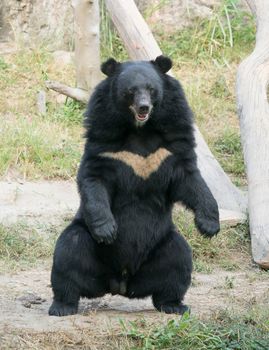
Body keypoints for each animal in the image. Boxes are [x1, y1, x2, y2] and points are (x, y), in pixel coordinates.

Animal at [49, 56, 219, 316]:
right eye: (130, 91)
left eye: (152, 89)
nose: (144, 108)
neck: (140, 130)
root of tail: (121, 283)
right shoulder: (105, 141)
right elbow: (94, 179)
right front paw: (108, 231)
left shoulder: (171, 144)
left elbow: (190, 180)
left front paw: (209, 225)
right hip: (84, 237)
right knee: (69, 255)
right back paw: (62, 306)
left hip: (164, 242)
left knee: (178, 261)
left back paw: (175, 305)